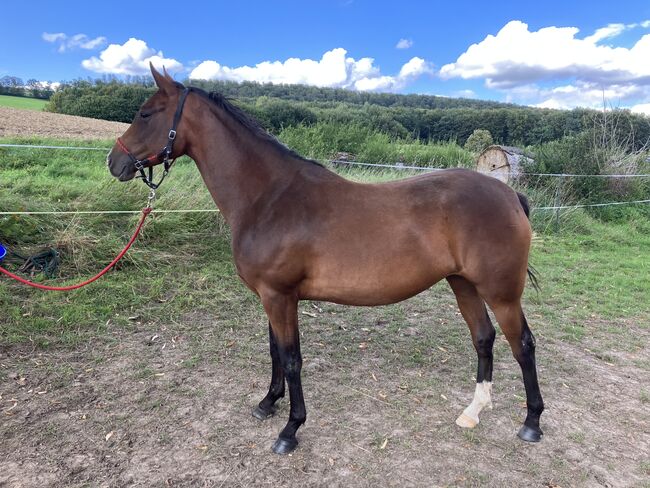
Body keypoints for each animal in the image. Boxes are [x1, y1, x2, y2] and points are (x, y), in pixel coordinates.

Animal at [106, 65, 540, 454]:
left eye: (145, 113)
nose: (115, 162)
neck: (269, 198)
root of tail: (509, 195)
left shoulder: (279, 296)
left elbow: (292, 359)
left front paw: (290, 430)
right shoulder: (271, 297)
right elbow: (275, 352)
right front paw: (268, 403)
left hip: (501, 293)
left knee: (522, 344)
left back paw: (532, 422)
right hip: (463, 284)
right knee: (483, 338)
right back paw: (473, 412)